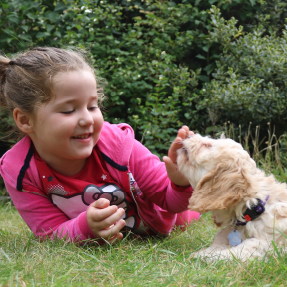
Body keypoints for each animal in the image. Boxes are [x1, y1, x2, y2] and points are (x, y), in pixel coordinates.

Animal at [178, 134, 287, 262]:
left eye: (207, 145)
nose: (189, 135)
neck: (254, 206)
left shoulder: (270, 243)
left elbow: (247, 247)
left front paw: (204, 256)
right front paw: (206, 252)